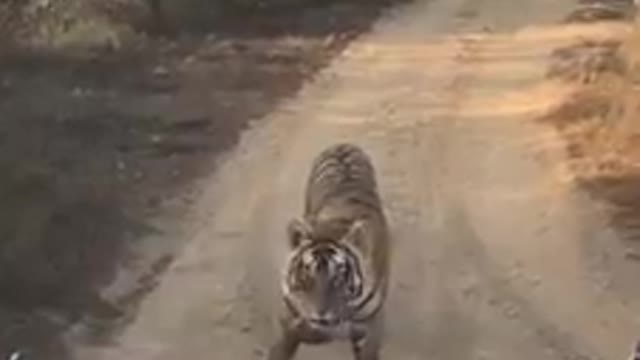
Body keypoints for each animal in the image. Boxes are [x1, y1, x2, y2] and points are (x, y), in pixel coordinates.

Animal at [264, 143, 390, 360]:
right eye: (306, 275)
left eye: (339, 276)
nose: (320, 314)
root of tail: (342, 144)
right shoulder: (292, 315)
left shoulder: (370, 329)